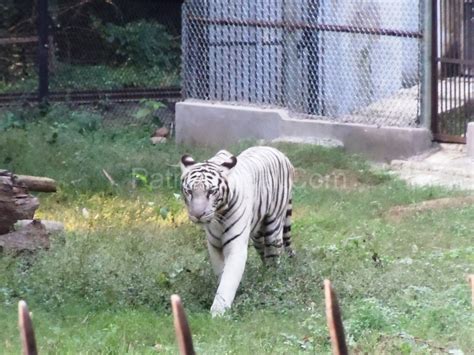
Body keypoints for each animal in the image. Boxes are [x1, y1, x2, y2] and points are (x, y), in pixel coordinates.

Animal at [181, 147, 294, 318]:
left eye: (211, 191)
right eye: (189, 191)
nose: (197, 214)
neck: (218, 215)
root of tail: (279, 152)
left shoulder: (236, 246)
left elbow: (229, 276)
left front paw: (218, 312)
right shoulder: (215, 246)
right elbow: (222, 272)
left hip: (273, 227)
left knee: (273, 256)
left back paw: (271, 280)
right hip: (257, 235)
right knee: (264, 253)